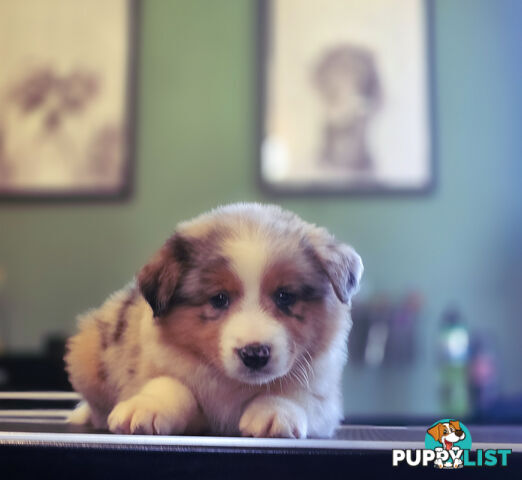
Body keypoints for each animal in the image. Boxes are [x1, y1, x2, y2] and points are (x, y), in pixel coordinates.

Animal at [65, 203, 362, 438]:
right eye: (219, 299)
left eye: (284, 296)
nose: (255, 354)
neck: (233, 385)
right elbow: (170, 384)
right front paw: (147, 407)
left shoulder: (324, 395)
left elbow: (299, 393)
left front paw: (276, 411)